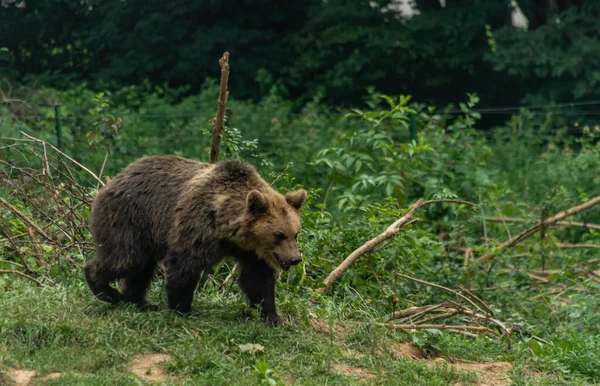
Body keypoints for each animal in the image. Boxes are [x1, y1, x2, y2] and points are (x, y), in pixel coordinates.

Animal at [85, 155, 304, 324]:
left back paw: (140, 302)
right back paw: (107, 291)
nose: (295, 258)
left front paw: (273, 317)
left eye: (295, 233)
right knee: (126, 257)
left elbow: (258, 278)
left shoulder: (249, 251)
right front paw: (182, 308)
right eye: (279, 234)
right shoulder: (196, 227)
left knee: (142, 268)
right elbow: (184, 266)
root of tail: (110, 183)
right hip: (130, 218)